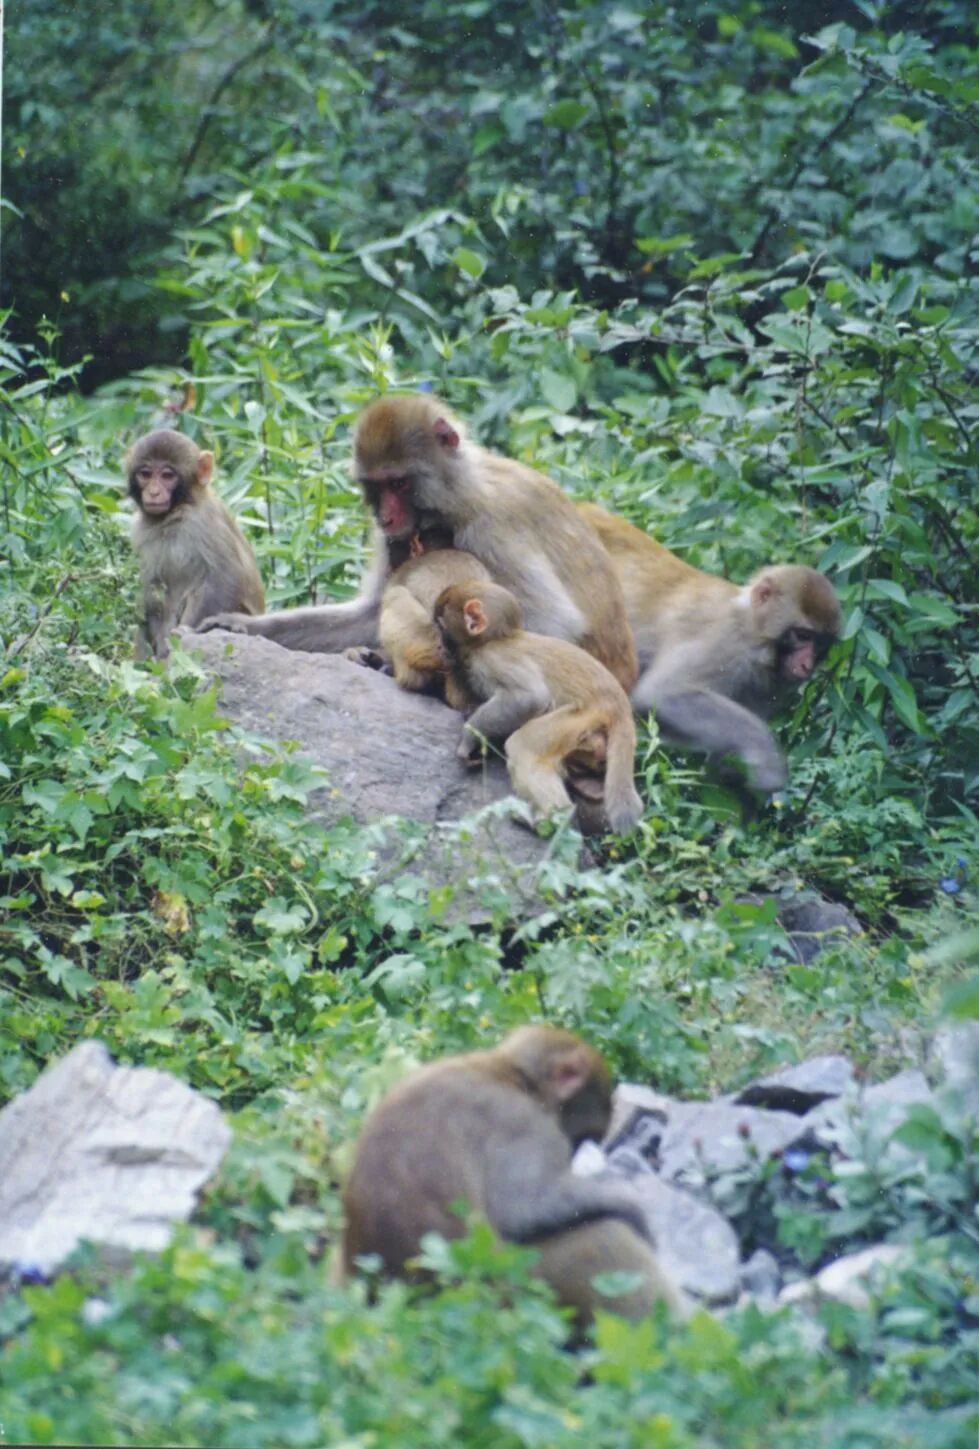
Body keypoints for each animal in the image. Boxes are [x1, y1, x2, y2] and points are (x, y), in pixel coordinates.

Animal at [127, 430, 265, 661]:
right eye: (145, 474)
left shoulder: (201, 524)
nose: (153, 492)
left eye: (167, 475)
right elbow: (150, 589)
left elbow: (225, 578)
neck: (176, 512)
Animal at [196, 394, 638, 691]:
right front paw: (241, 625)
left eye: (399, 483)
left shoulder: (494, 525)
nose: (387, 517)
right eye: (376, 487)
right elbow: (373, 610)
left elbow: (554, 625)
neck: (459, 494)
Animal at [340, 1025, 686, 1323]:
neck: (509, 1074)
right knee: (604, 1234)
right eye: (578, 1138)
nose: (574, 1154)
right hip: (515, 1290)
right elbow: (521, 1209)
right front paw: (632, 1207)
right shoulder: (523, 1124)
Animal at [434, 580, 643, 835]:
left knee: (522, 745)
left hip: (579, 716)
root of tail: (620, 704)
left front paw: (469, 738)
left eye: (441, 627)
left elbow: (530, 698)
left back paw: (554, 818)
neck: (496, 639)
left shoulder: (491, 659)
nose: (439, 647)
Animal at [578, 503, 843, 793]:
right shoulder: (723, 642)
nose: (806, 665)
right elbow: (663, 694)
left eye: (820, 645)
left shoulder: (766, 686)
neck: (750, 629)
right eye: (802, 635)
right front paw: (766, 757)